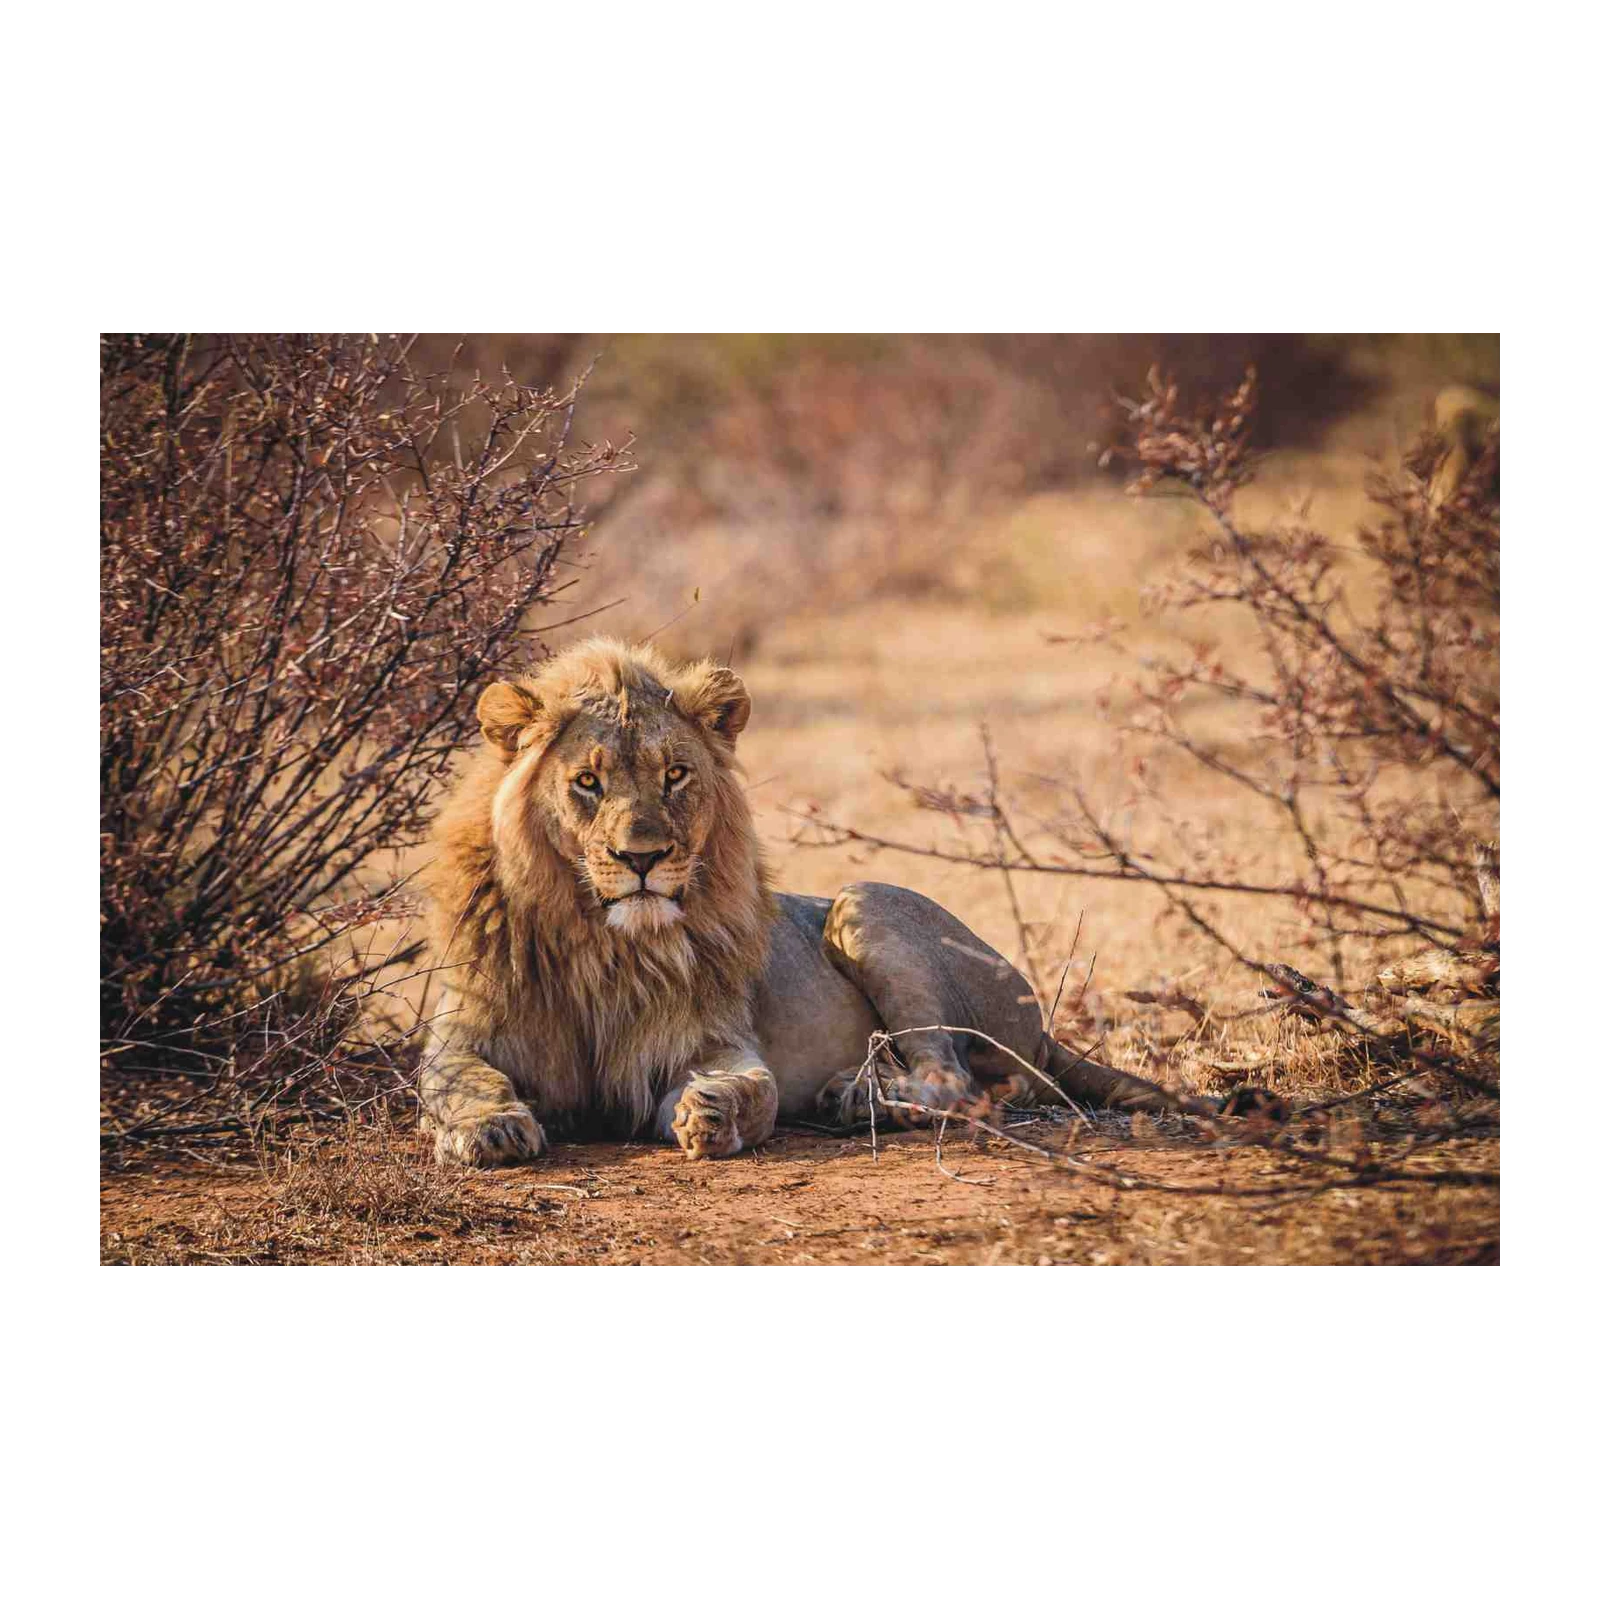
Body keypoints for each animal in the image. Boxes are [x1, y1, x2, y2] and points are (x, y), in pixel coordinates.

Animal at [419, 637, 1196, 1166]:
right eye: (587, 781)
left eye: (675, 775)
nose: (643, 859)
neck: (601, 942)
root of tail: (1041, 1022)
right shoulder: (463, 1033)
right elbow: (456, 1080)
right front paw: (491, 1127)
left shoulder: (712, 1040)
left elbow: (753, 1088)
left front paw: (711, 1112)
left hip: (864, 904)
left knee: (957, 1080)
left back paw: (860, 1098)